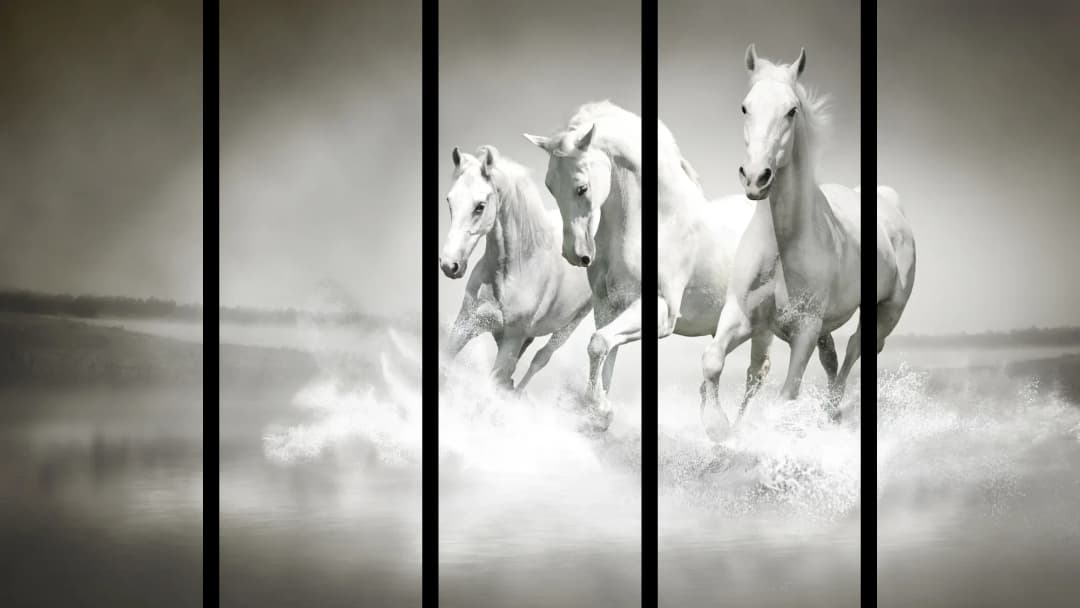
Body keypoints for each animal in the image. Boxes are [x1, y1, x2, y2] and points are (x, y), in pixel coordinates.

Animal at [439, 145, 593, 391]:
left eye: (480, 206)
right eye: (449, 201)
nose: (449, 265)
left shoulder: (511, 339)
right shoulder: (466, 324)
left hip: (570, 324)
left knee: (540, 359)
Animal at [699, 45, 916, 440]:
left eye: (791, 110)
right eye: (745, 107)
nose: (756, 178)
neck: (783, 246)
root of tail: (890, 202)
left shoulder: (805, 330)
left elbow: (786, 395)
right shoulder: (742, 315)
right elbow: (714, 360)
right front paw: (719, 426)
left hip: (886, 312)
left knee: (857, 348)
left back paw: (832, 412)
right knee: (829, 357)